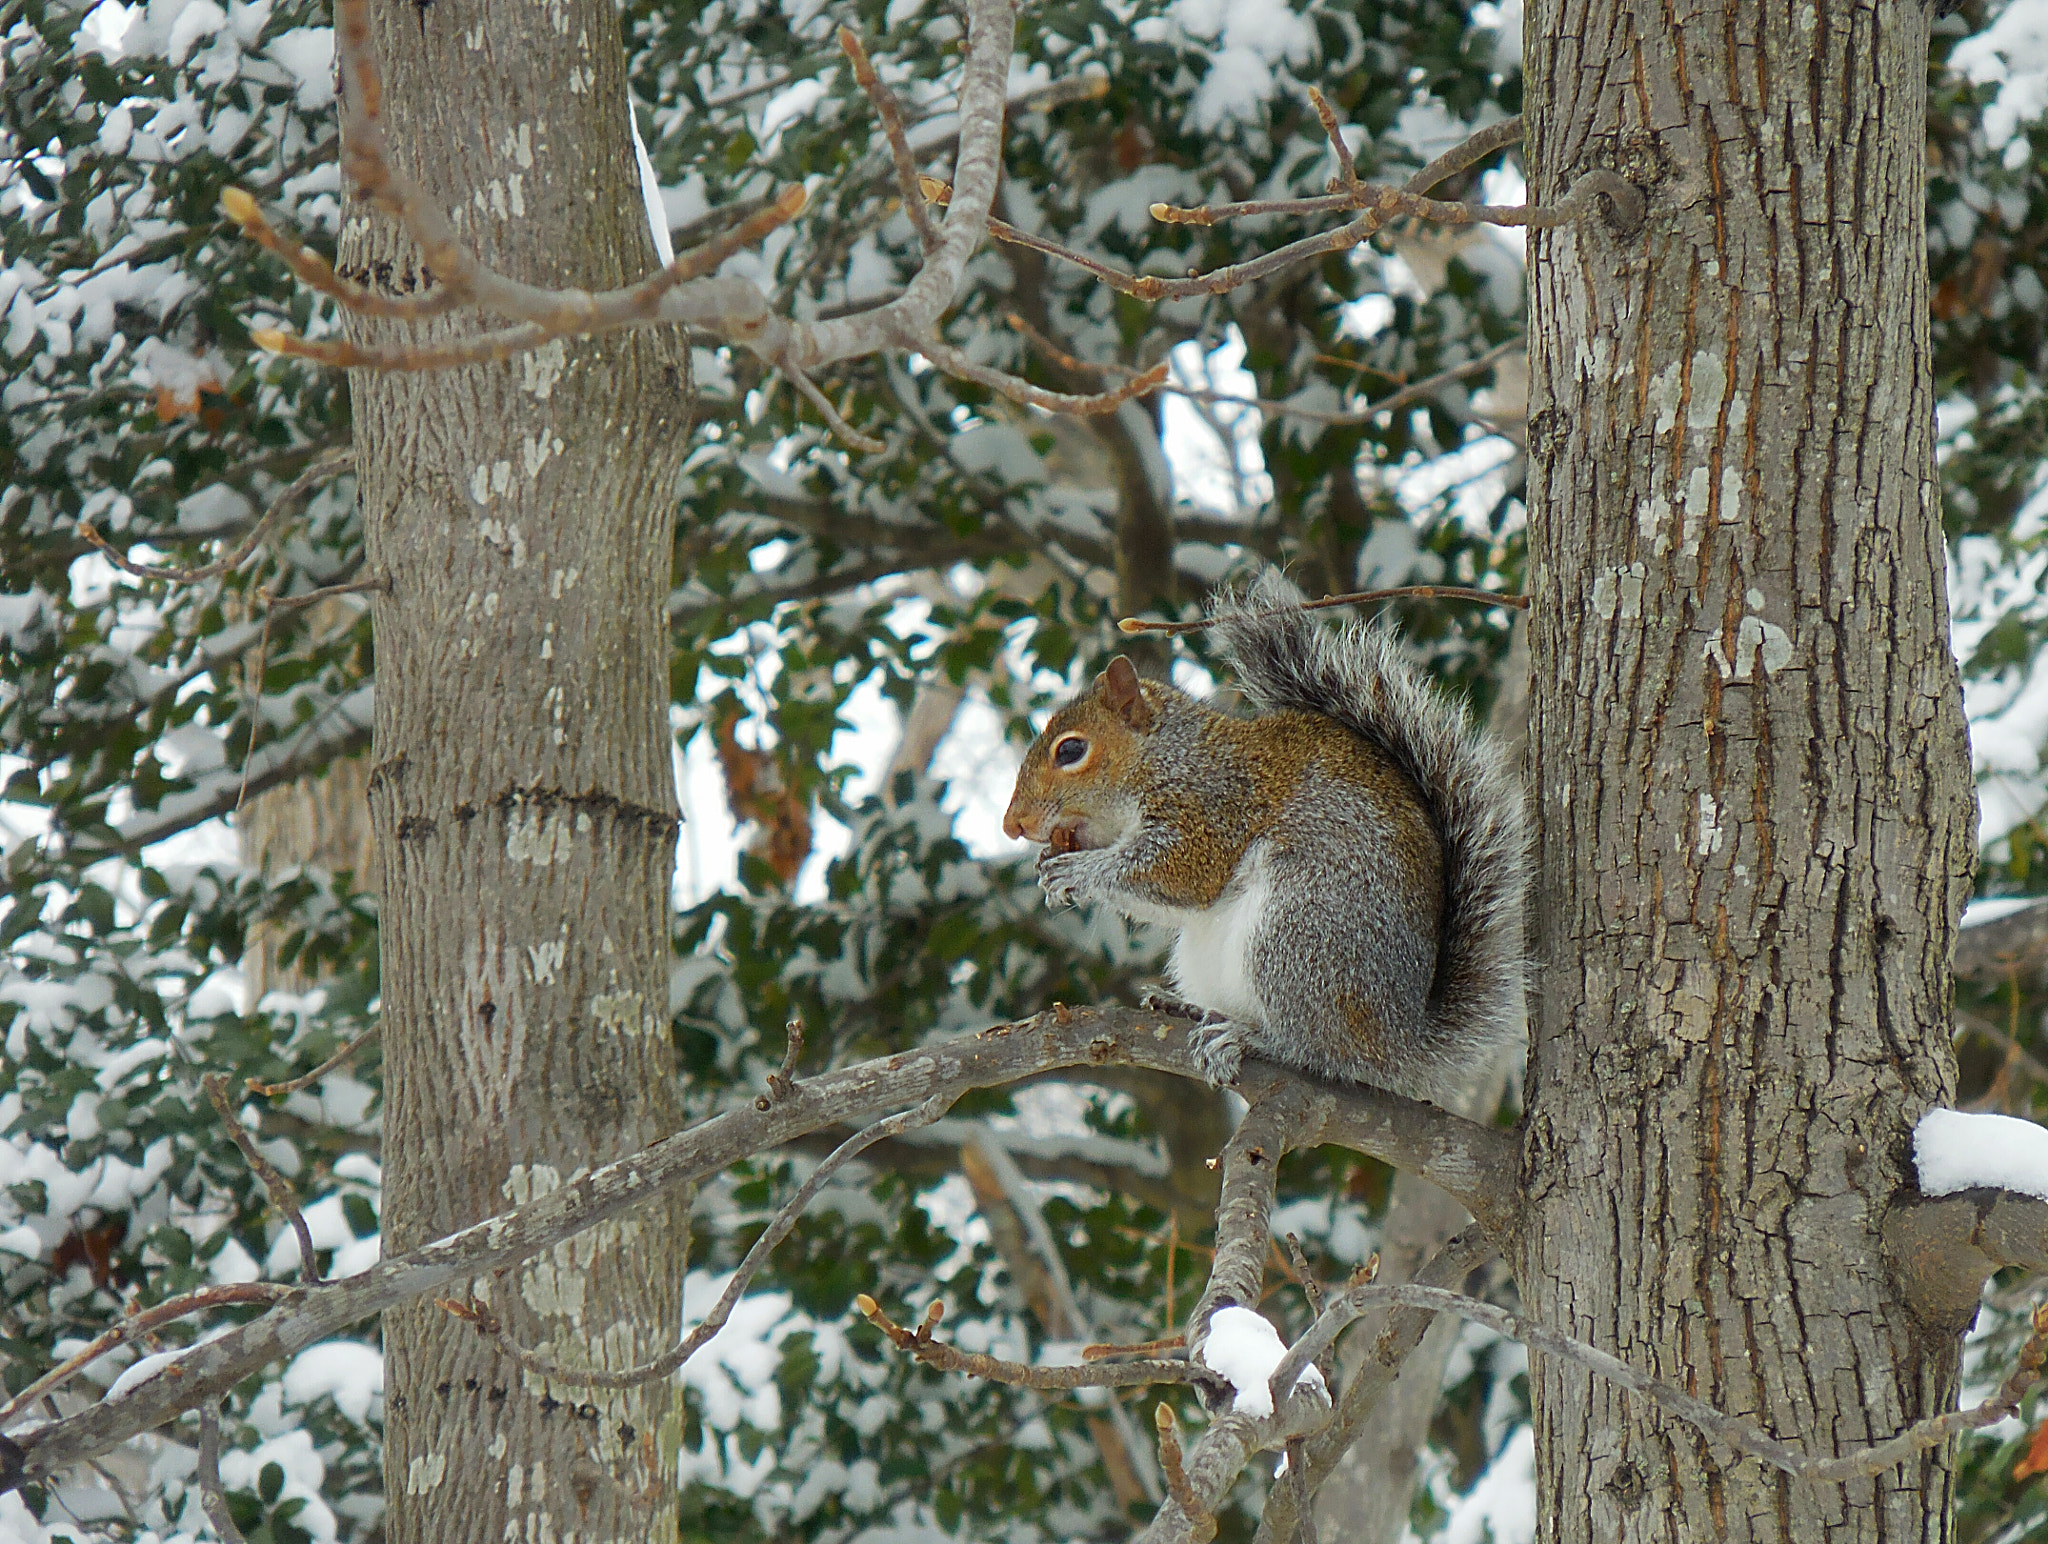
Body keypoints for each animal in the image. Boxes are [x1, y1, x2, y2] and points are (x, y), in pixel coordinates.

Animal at [999, 569, 1531, 1097]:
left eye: (1071, 751)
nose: (1012, 825)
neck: (1163, 757)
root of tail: (1400, 1040)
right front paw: (1048, 868)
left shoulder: (1214, 807)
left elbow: (1179, 875)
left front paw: (1078, 870)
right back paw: (1187, 1006)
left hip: (1298, 935)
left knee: (1324, 1051)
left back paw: (1251, 1037)